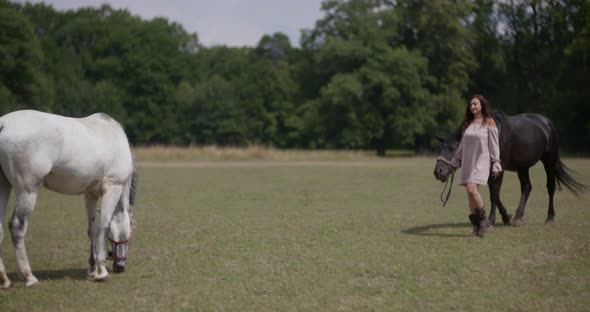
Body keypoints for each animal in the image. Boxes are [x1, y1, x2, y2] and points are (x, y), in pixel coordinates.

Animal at [0, 109, 138, 288]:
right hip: (27, 191)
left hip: (4, 186)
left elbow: (92, 229)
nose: (120, 266)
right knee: (17, 226)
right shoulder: (112, 188)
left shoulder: (91, 194)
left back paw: (4, 280)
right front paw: (101, 271)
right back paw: (29, 277)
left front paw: (92, 269)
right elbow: (104, 227)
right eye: (131, 233)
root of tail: (3, 124)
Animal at [434, 111, 588, 225]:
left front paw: (497, 219)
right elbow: (494, 194)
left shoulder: (499, 168)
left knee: (550, 187)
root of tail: (548, 123)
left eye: (452, 147)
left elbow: (494, 194)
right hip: (523, 166)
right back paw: (518, 217)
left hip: (549, 162)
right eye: (442, 147)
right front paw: (502, 217)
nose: (438, 172)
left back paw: (549, 218)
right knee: (527, 187)